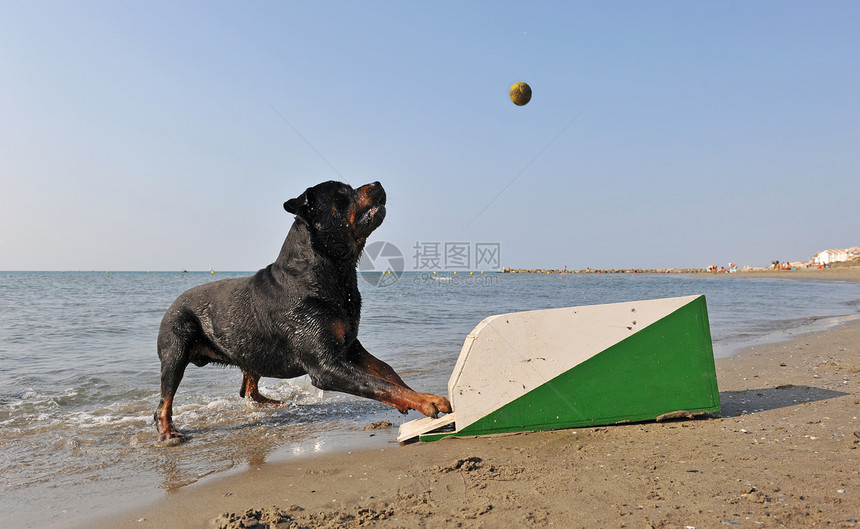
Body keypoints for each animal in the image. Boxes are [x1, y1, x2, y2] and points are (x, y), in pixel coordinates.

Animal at [155, 182, 450, 442]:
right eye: (342, 192)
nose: (376, 183)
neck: (332, 273)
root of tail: (173, 303)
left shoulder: (350, 345)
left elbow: (386, 371)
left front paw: (418, 395)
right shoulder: (325, 365)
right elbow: (376, 383)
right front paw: (426, 401)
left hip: (252, 349)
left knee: (249, 387)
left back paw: (272, 403)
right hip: (175, 347)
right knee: (164, 400)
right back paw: (168, 432)